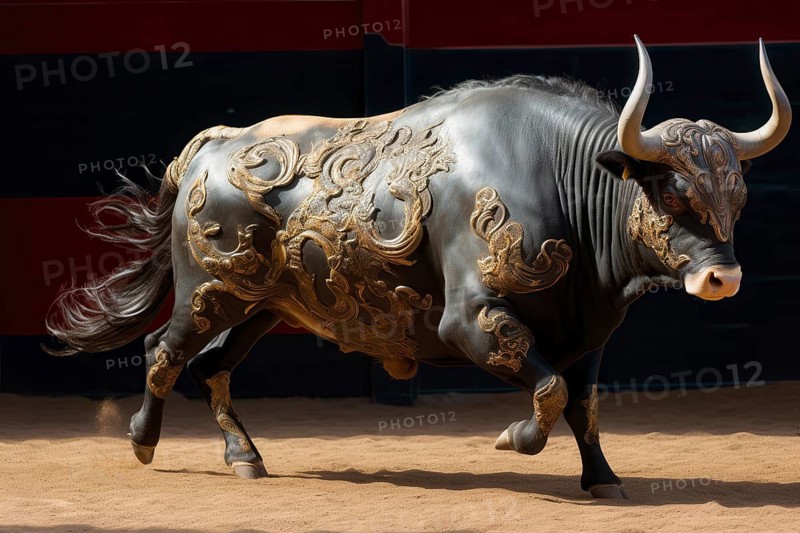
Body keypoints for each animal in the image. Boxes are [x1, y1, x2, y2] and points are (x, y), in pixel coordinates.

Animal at [46, 37, 791, 498]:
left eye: (736, 197)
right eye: (673, 193)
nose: (722, 279)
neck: (561, 177)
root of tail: (211, 147)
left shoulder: (588, 335)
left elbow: (583, 405)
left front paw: (603, 477)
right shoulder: (472, 320)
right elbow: (549, 393)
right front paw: (512, 438)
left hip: (263, 305)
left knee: (211, 368)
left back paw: (246, 458)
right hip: (211, 292)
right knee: (163, 350)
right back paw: (143, 441)